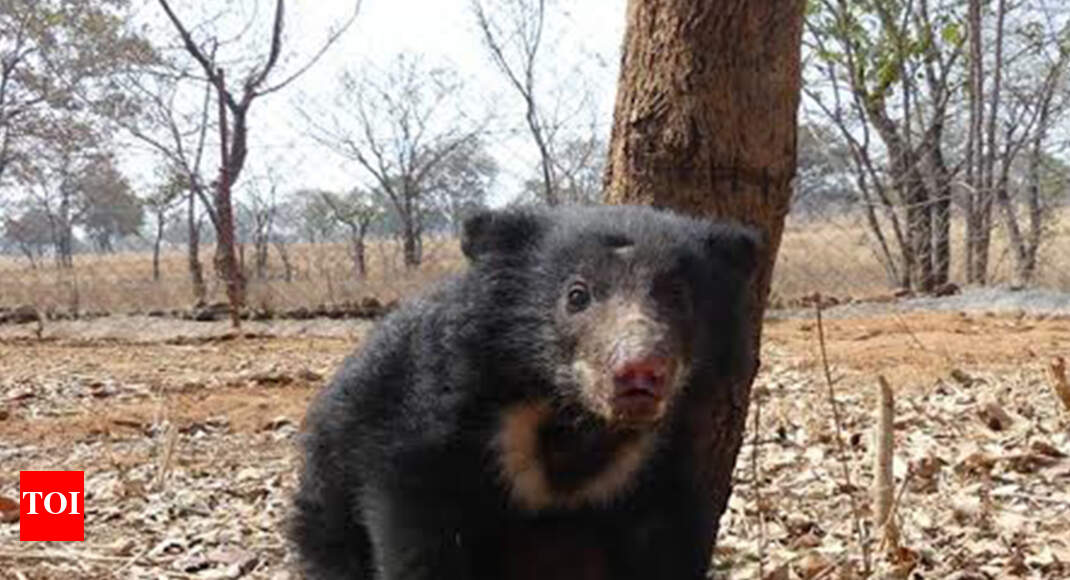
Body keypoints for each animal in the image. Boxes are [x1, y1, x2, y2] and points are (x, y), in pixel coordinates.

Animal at [290, 204, 761, 579]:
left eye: (677, 296)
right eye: (577, 296)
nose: (640, 371)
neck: (576, 418)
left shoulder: (654, 464)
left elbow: (665, 540)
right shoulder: (423, 429)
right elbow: (418, 533)